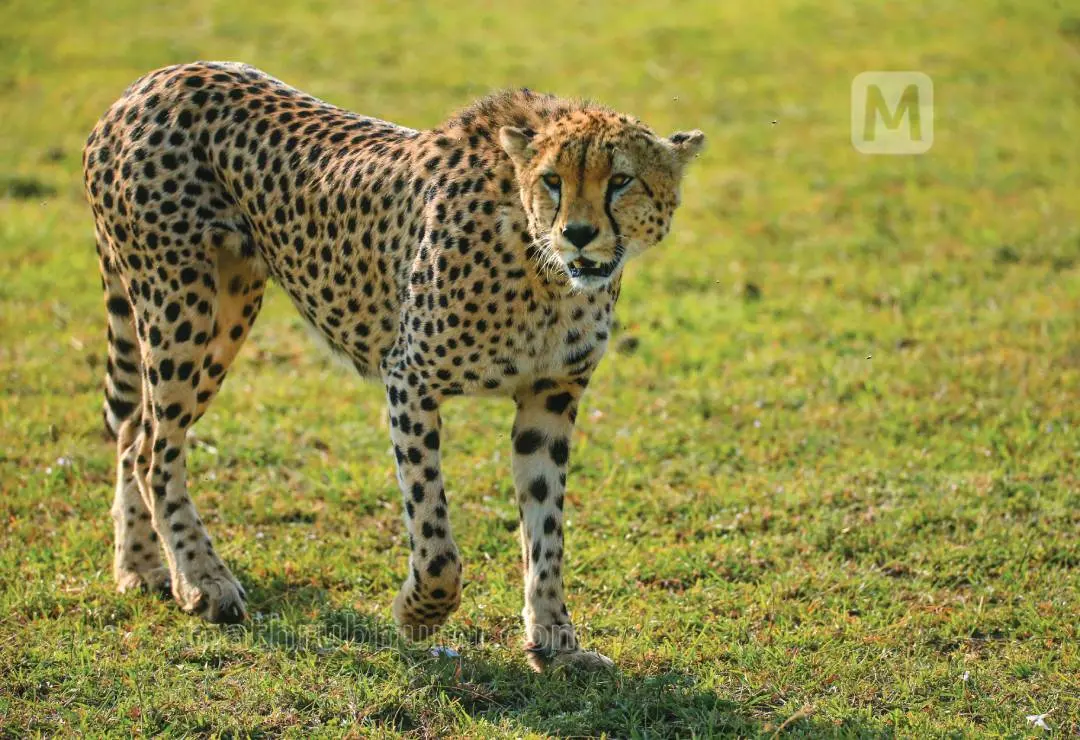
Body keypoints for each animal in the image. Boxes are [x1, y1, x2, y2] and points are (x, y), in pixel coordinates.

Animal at [82, 61, 704, 671]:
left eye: (620, 180)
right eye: (552, 180)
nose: (577, 233)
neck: (540, 264)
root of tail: (151, 81)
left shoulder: (550, 397)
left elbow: (545, 528)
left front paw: (554, 640)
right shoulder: (410, 378)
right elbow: (435, 539)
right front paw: (418, 614)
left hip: (225, 316)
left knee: (137, 432)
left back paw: (140, 567)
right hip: (179, 307)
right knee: (156, 450)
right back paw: (201, 581)